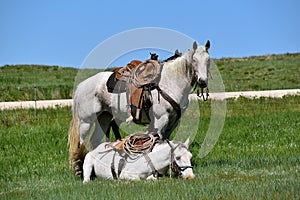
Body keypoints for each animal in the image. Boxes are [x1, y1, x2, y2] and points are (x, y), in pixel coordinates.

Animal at [69, 39, 210, 174]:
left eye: (208, 61)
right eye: (194, 60)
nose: (202, 81)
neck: (171, 82)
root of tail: (82, 85)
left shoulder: (173, 121)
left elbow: (166, 142)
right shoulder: (160, 120)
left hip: (104, 118)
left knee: (95, 141)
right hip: (85, 122)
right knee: (81, 143)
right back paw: (78, 168)